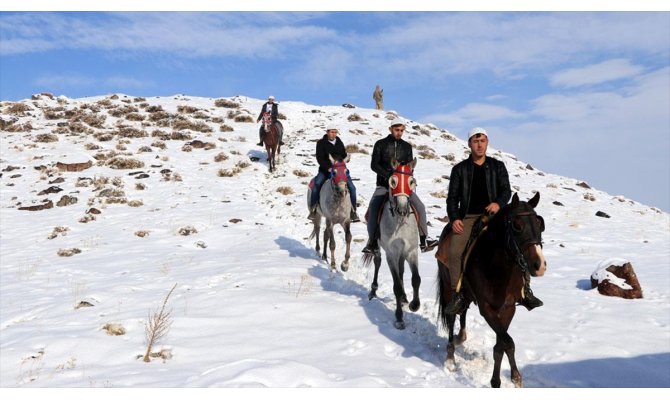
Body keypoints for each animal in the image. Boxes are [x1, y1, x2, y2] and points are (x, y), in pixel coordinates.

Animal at [364, 158, 422, 330]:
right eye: (393, 181)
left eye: (411, 182)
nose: (402, 209)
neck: (400, 222)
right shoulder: (391, 254)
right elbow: (396, 285)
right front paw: (399, 318)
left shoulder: (411, 251)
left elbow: (416, 279)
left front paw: (414, 305)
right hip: (377, 247)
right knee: (377, 262)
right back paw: (373, 291)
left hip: (402, 254)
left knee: (402, 271)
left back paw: (404, 298)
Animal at [436, 193, 552, 388]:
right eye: (517, 225)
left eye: (539, 224)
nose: (539, 266)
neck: (497, 267)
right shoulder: (487, 309)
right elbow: (507, 342)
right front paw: (502, 380)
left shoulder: (508, 308)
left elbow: (501, 346)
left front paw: (511, 378)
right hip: (448, 288)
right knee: (451, 317)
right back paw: (451, 358)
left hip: (466, 294)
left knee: (463, 311)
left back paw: (461, 337)